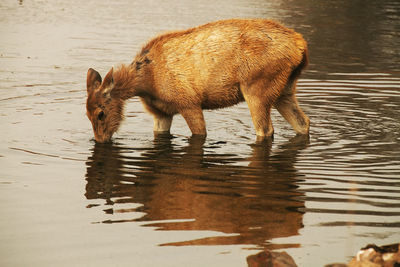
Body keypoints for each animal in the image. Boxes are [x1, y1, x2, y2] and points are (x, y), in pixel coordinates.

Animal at [85, 18, 310, 144]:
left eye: (100, 113)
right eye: (86, 114)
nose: (100, 141)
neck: (146, 83)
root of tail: (301, 45)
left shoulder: (189, 103)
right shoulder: (161, 113)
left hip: (257, 89)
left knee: (265, 130)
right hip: (285, 90)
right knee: (303, 123)